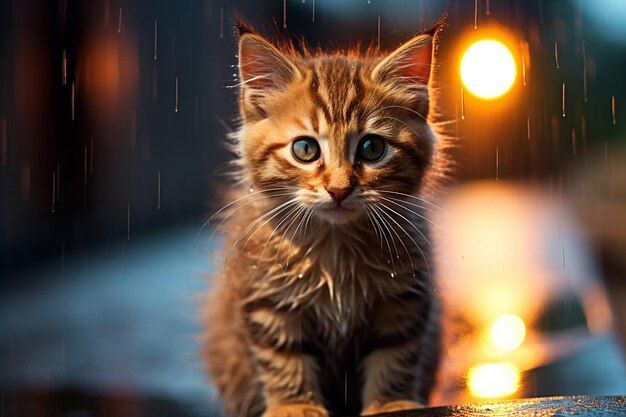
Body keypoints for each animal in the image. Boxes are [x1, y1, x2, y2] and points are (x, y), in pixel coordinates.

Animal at [202, 21, 442, 416]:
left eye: (372, 148)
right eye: (305, 149)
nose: (339, 189)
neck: (336, 245)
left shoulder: (405, 296)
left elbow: (395, 355)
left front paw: (391, 403)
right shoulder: (268, 298)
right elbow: (283, 360)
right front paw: (294, 406)